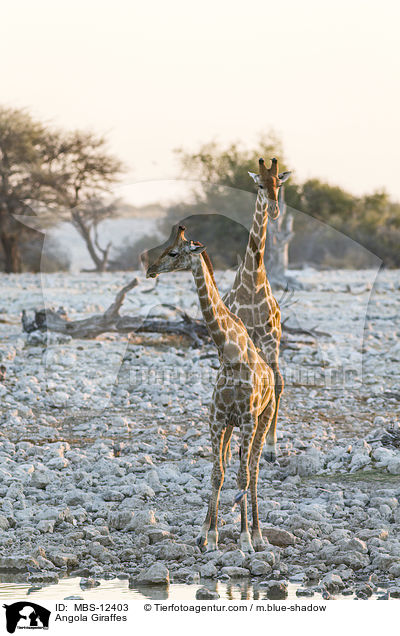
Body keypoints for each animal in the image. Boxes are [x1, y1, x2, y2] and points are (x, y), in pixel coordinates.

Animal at [147, 227, 276, 552]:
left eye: (173, 252)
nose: (150, 270)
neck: (229, 355)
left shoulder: (247, 419)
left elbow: (242, 477)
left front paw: (244, 540)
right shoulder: (217, 419)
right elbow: (217, 474)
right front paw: (208, 535)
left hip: (264, 418)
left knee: (254, 470)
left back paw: (259, 534)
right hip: (231, 427)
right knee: (231, 467)